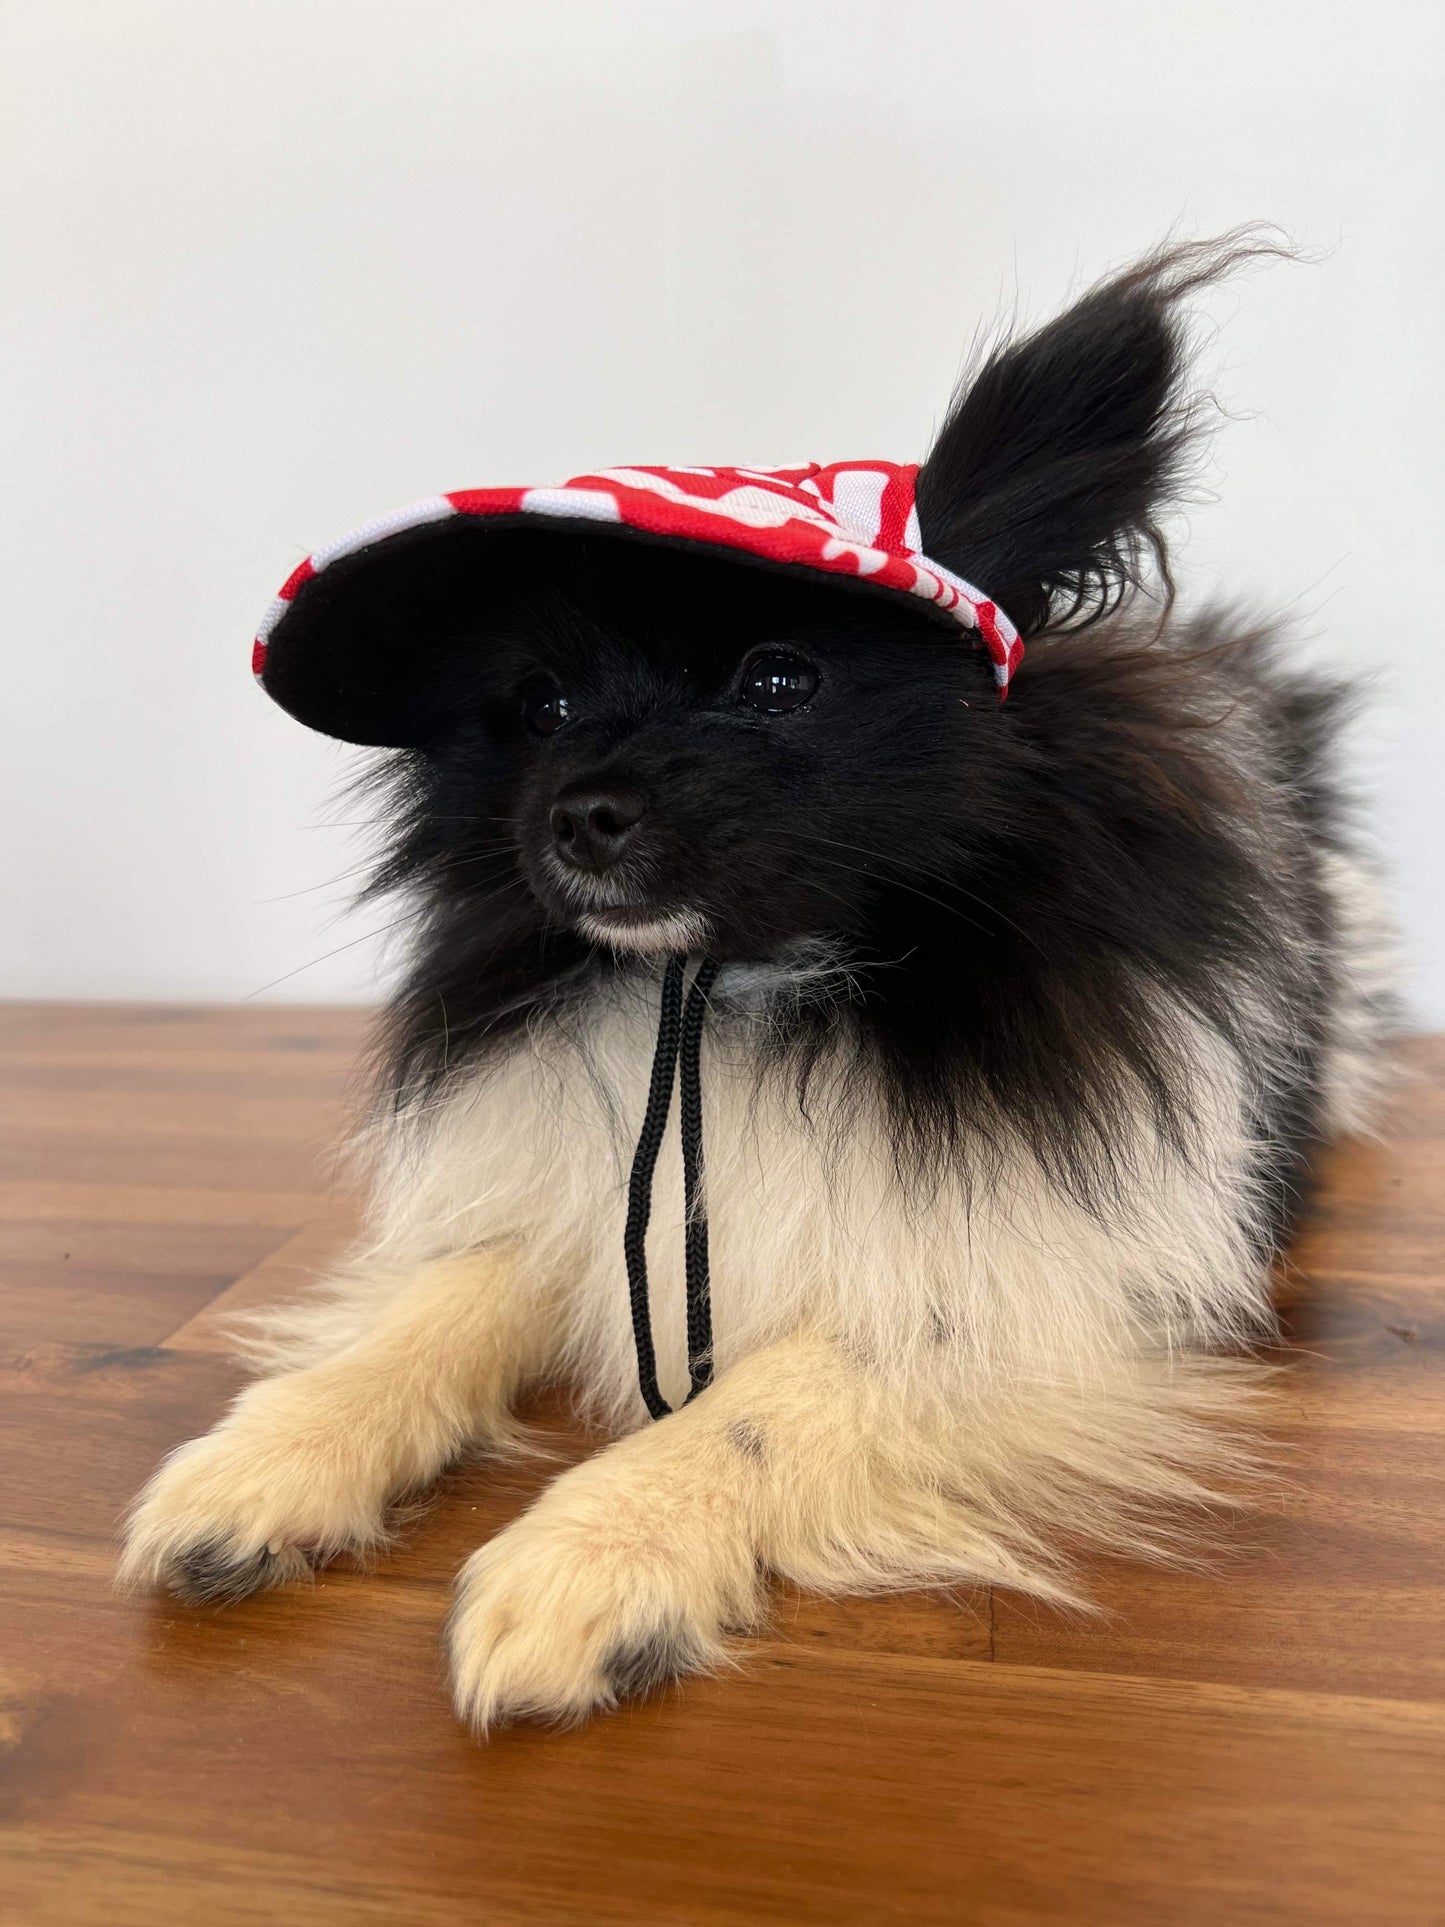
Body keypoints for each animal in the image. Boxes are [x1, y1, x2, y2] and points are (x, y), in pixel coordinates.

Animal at [124, 237, 1402, 1734]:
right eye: (540, 706)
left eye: (779, 679)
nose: (579, 811)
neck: (731, 991)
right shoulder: (568, 1193)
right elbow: (442, 1304)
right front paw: (279, 1445)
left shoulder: (1038, 1281)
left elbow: (775, 1392)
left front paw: (592, 1550)